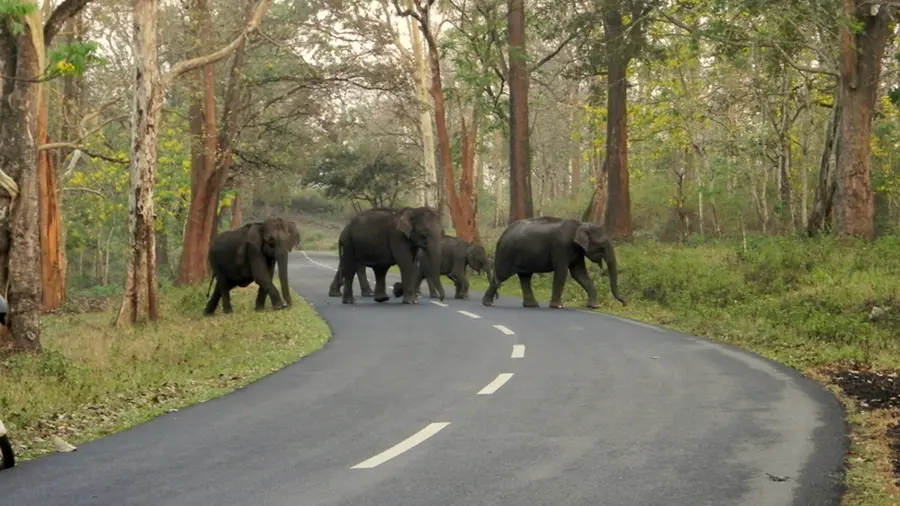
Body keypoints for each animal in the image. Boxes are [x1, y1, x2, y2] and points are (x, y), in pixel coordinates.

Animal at [481, 216, 626, 309]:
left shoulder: (577, 251)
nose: (625, 303)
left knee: (525, 277)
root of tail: (502, 234)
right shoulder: (561, 247)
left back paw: (532, 305)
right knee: (501, 276)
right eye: (602, 245)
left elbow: (579, 274)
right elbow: (562, 272)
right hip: (506, 253)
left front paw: (595, 306)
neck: (581, 224)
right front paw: (559, 306)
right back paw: (488, 304)